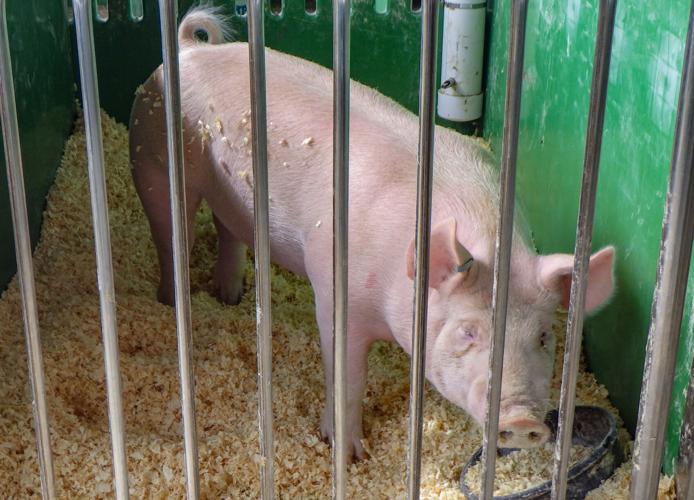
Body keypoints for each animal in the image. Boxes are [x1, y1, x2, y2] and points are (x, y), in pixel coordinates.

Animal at [129, 6, 615, 460]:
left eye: (544, 336)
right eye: (469, 332)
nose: (520, 419)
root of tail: (188, 49)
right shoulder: (334, 291)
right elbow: (348, 376)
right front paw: (348, 454)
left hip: (232, 196)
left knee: (226, 228)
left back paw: (229, 295)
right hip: (151, 157)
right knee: (170, 234)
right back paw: (173, 302)